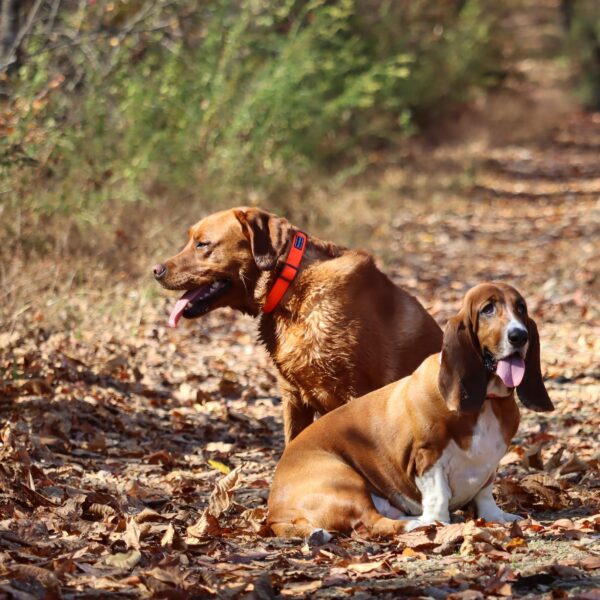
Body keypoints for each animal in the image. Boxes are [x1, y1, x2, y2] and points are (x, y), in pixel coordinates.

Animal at [268, 282, 552, 540]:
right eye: (488, 309)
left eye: (521, 307)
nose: (519, 335)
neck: (487, 401)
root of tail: (275, 514)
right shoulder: (427, 458)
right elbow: (438, 495)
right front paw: (438, 522)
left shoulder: (489, 465)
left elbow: (485, 494)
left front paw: (496, 517)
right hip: (344, 479)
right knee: (371, 523)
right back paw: (417, 523)